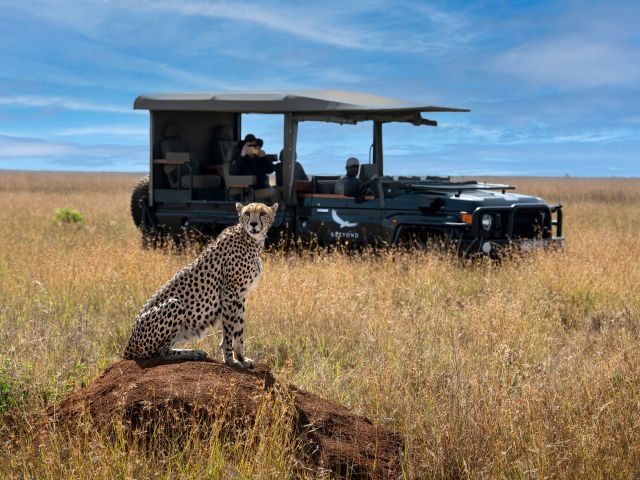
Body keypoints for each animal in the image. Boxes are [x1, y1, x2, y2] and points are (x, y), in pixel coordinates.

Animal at [122, 202, 278, 368]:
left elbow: (239, 328)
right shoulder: (230, 292)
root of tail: (128, 346)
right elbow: (229, 330)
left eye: (262, 213)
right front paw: (230, 360)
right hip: (174, 304)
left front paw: (241, 358)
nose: (253, 224)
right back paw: (193, 352)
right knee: (160, 352)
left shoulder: (240, 295)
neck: (251, 239)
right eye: (247, 213)